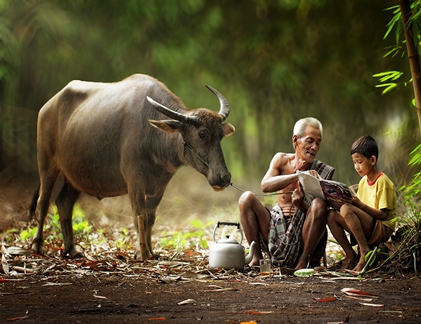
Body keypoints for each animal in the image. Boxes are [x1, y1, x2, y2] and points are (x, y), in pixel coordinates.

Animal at [27, 74, 235, 260]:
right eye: (202, 134)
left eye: (220, 135)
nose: (224, 177)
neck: (153, 136)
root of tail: (47, 107)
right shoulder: (134, 180)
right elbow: (138, 215)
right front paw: (139, 253)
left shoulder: (159, 186)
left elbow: (150, 217)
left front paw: (150, 251)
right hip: (46, 162)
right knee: (44, 201)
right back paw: (37, 245)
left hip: (75, 175)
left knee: (64, 203)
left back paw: (71, 249)